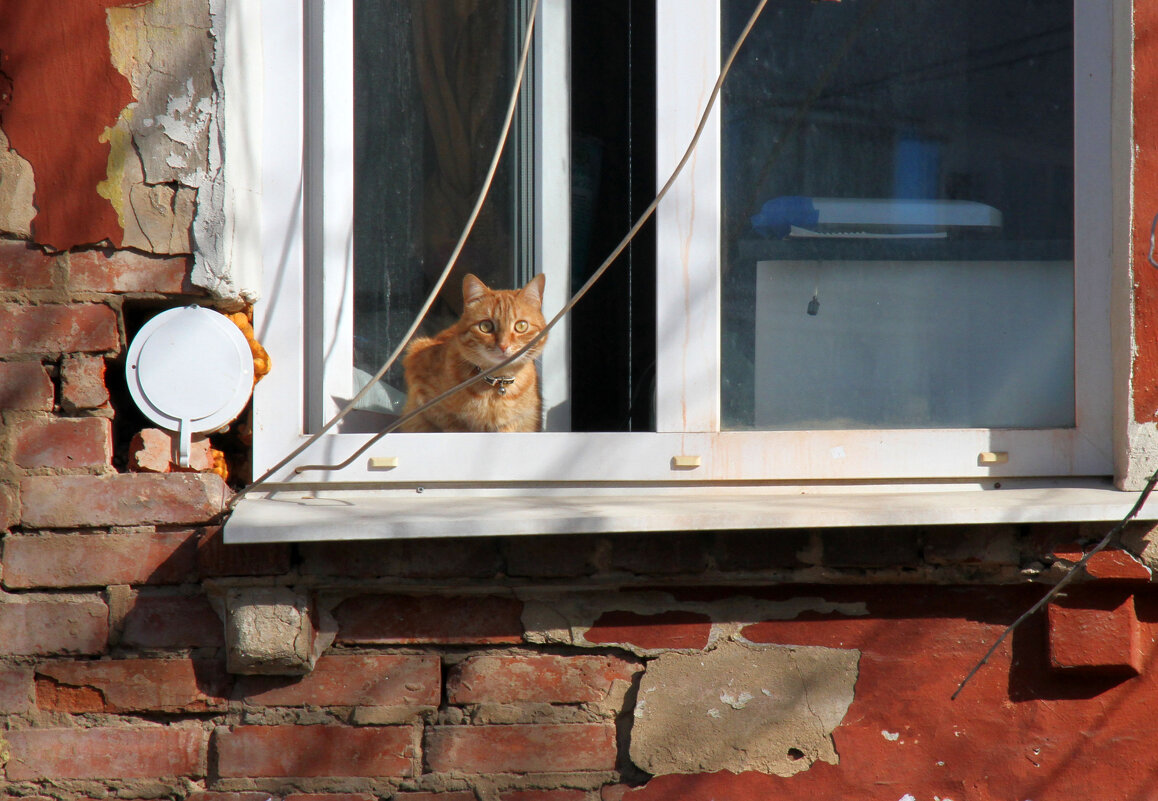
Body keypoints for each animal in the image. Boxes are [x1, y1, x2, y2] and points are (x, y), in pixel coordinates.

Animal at [400, 272, 548, 432]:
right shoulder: (425, 396)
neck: (496, 384)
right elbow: (453, 424)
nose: (503, 346)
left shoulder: (517, 421)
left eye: (521, 326)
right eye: (485, 326)